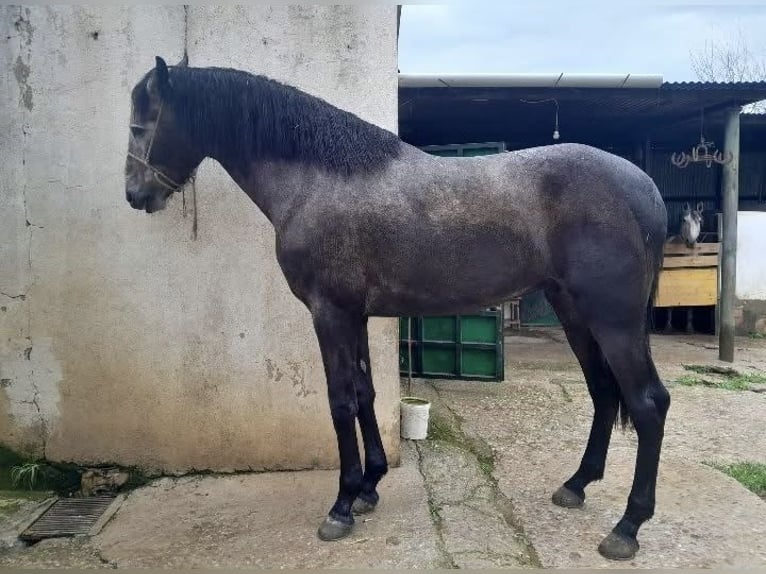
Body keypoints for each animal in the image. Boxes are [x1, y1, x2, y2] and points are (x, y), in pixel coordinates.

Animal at [124, 56, 669, 561]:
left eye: (139, 123)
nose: (134, 194)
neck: (318, 179)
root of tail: (644, 187)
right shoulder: (355, 316)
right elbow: (364, 393)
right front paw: (370, 487)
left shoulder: (329, 313)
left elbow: (341, 401)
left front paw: (342, 505)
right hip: (575, 314)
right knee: (603, 392)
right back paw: (576, 485)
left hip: (614, 321)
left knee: (647, 403)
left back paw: (627, 527)